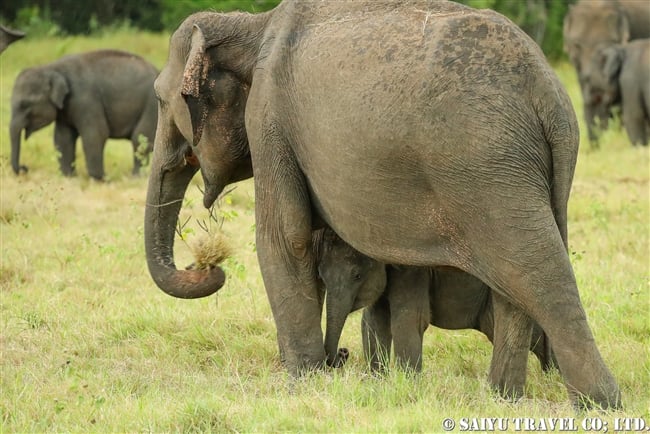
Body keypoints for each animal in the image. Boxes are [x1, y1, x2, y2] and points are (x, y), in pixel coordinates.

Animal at [10, 50, 158, 179]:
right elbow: (63, 137)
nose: (25, 168)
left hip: (152, 106)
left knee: (139, 137)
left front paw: (102, 179)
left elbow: (95, 134)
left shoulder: (86, 99)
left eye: (25, 104)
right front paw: (69, 177)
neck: (51, 67)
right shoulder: (65, 110)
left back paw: (136, 177)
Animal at [316, 227, 556, 396]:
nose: (343, 353)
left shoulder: (411, 272)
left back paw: (554, 377)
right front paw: (379, 382)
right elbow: (374, 322)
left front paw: (409, 387)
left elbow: (409, 321)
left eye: (357, 276)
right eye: (321, 276)